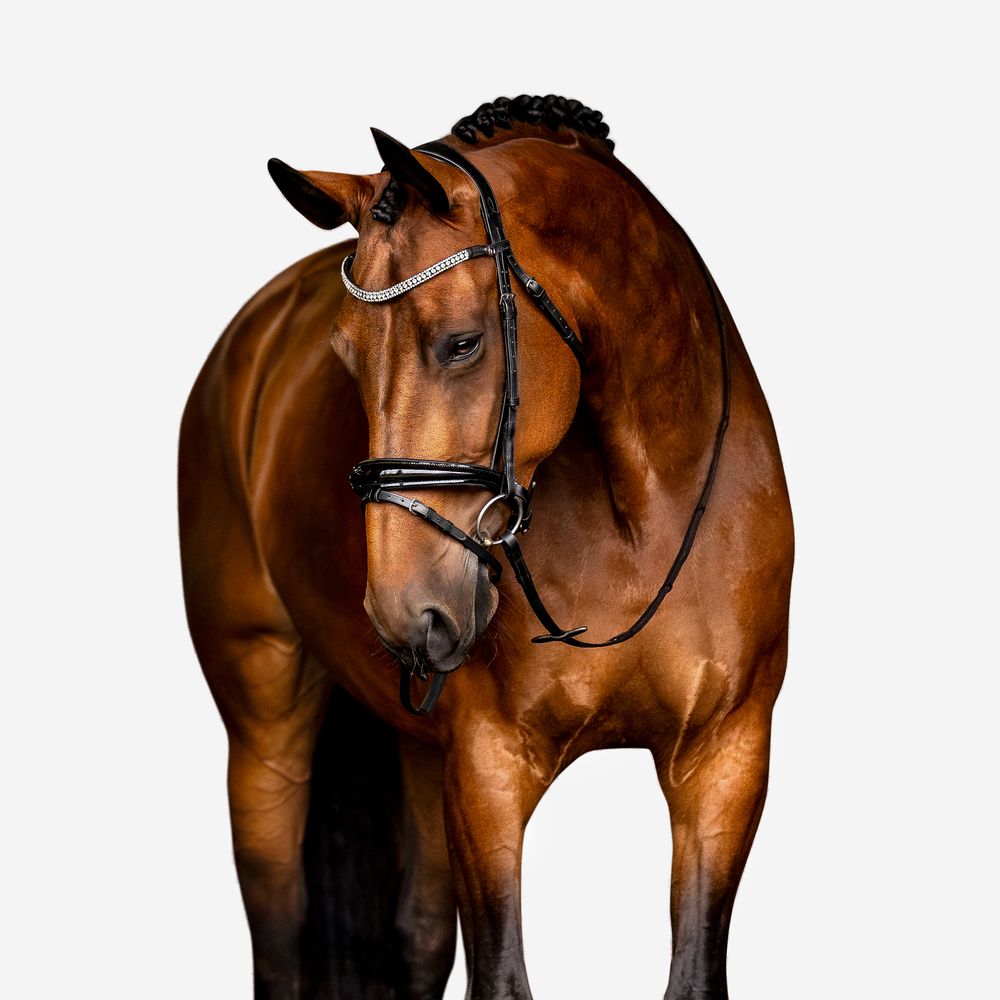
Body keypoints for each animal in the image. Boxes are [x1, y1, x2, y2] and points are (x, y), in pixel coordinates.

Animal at [179, 94, 793, 1000]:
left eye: (462, 342)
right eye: (346, 357)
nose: (408, 611)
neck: (641, 515)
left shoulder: (725, 760)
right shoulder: (488, 771)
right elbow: (501, 975)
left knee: (417, 935)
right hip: (266, 721)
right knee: (280, 933)